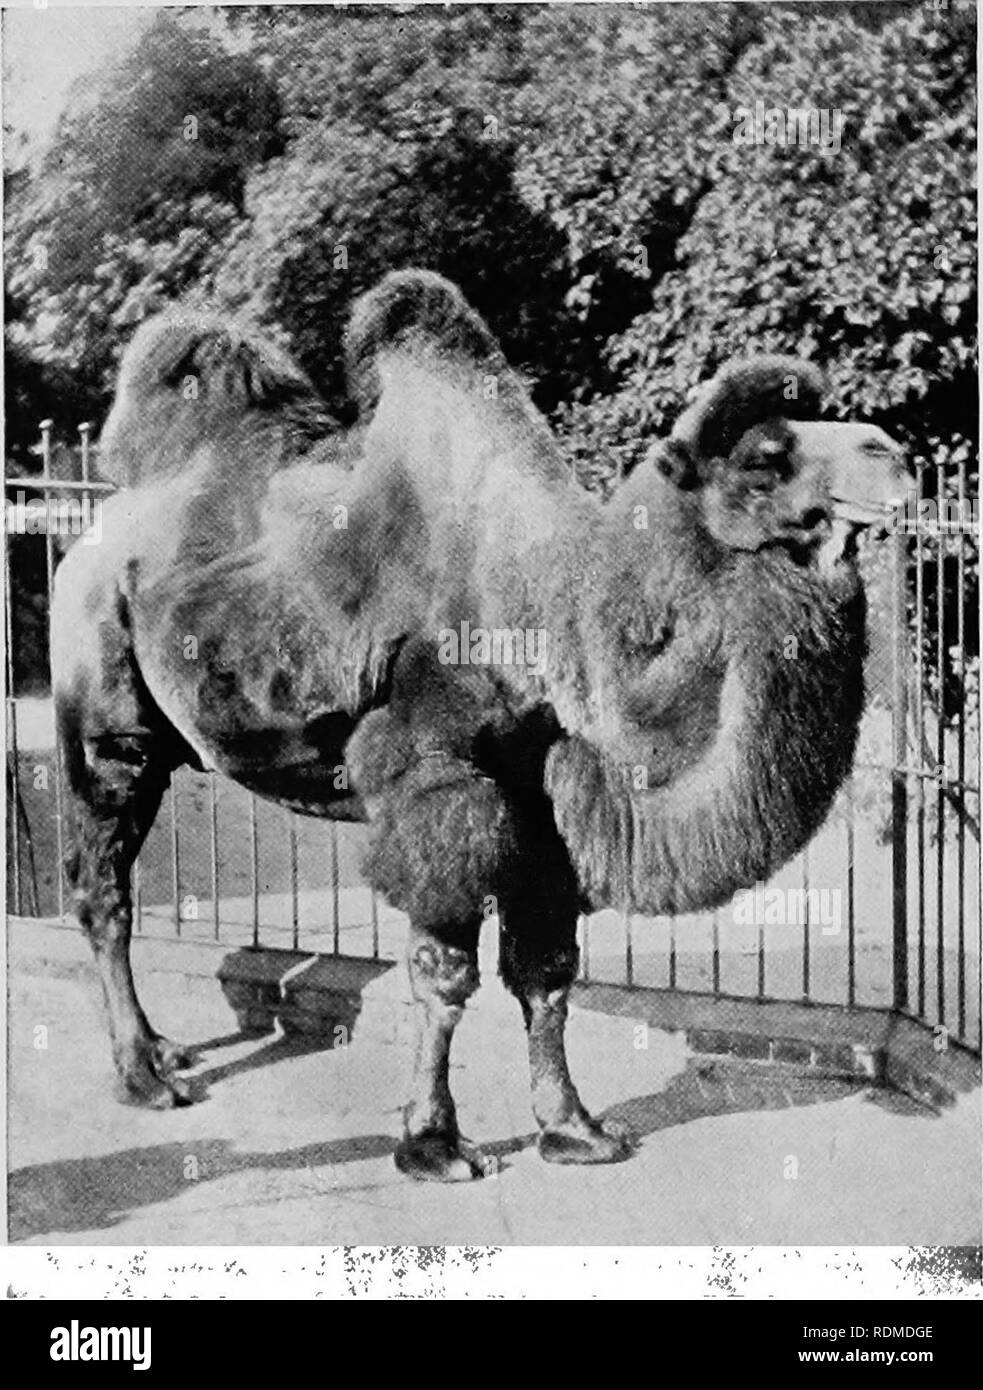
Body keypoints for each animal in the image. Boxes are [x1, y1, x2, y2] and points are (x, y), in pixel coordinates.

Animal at [51, 269, 906, 1181]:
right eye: (763, 458)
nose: (891, 455)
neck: (553, 611)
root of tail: (92, 537)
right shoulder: (434, 780)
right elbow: (444, 972)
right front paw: (431, 1143)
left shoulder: (542, 798)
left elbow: (547, 972)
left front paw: (573, 1128)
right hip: (109, 718)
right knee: (103, 884)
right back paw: (143, 1076)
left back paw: (163, 1052)